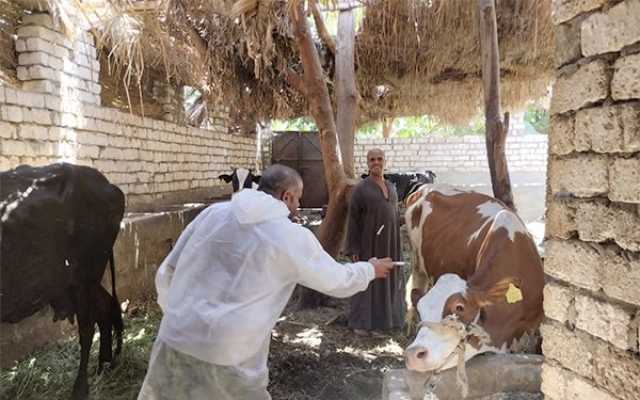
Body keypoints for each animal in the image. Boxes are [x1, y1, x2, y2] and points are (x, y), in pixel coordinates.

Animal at [0, 163, 125, 400]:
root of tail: (108, 185)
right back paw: (104, 364)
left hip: (86, 276)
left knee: (87, 330)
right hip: (77, 281)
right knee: (105, 308)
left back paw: (80, 388)